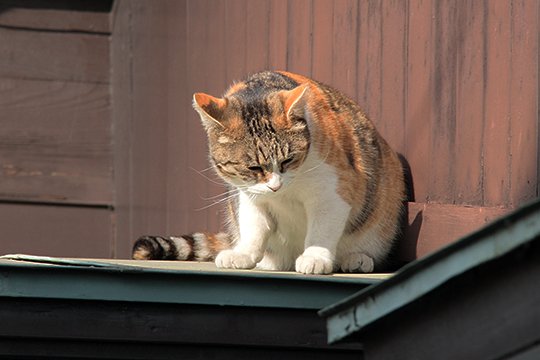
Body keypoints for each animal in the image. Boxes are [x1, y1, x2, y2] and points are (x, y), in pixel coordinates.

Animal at [133, 71, 404, 276]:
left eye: (288, 160)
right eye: (253, 168)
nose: (275, 186)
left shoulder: (334, 190)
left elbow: (322, 228)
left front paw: (315, 257)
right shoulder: (249, 194)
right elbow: (253, 225)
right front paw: (244, 254)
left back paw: (356, 259)